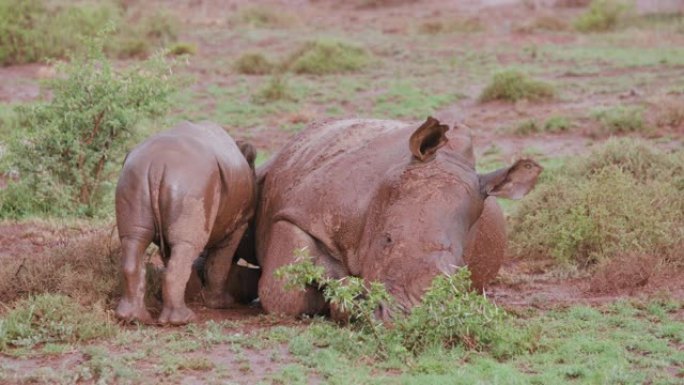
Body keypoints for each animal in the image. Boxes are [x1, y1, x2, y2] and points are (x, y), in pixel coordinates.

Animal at [115, 121, 256, 324]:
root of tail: (156, 165)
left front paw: (193, 295)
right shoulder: (240, 224)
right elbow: (220, 262)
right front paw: (220, 304)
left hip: (134, 177)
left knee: (134, 239)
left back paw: (134, 319)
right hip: (191, 182)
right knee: (186, 246)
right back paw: (183, 320)